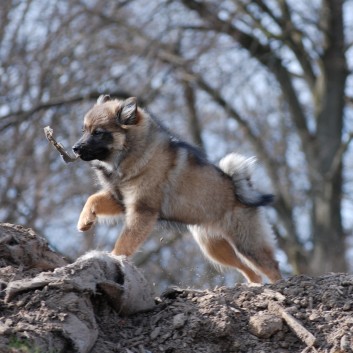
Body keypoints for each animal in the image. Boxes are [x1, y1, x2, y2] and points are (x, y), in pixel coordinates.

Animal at [73, 95, 282, 282]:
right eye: (83, 130)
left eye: (98, 132)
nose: (75, 148)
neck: (133, 152)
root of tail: (241, 190)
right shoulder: (120, 200)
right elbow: (93, 199)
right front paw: (85, 220)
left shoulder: (142, 210)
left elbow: (125, 241)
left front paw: (115, 257)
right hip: (214, 247)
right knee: (251, 272)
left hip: (247, 244)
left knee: (271, 267)